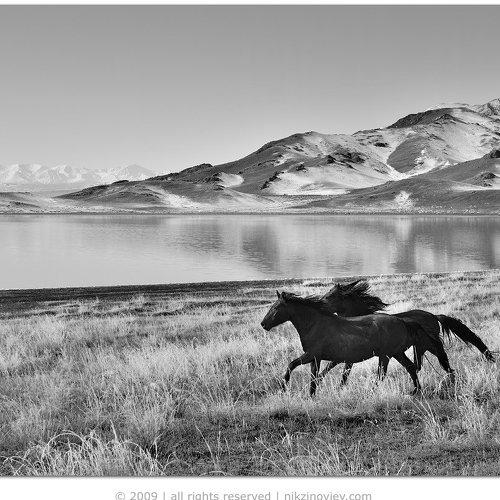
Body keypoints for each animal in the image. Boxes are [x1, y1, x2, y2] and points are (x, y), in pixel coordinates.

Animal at [260, 290, 452, 396]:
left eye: (276, 308)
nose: (263, 324)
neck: (316, 324)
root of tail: (404, 321)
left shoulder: (312, 355)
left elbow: (291, 365)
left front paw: (284, 387)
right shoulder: (317, 358)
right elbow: (316, 377)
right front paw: (311, 395)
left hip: (387, 354)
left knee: (383, 374)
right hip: (396, 353)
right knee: (411, 367)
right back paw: (415, 391)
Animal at [318, 279, 495, 384]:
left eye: (331, 296)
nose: (319, 303)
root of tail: (434, 316)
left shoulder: (350, 356)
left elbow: (341, 373)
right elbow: (335, 371)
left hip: (427, 346)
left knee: (438, 362)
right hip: (419, 348)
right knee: (418, 366)